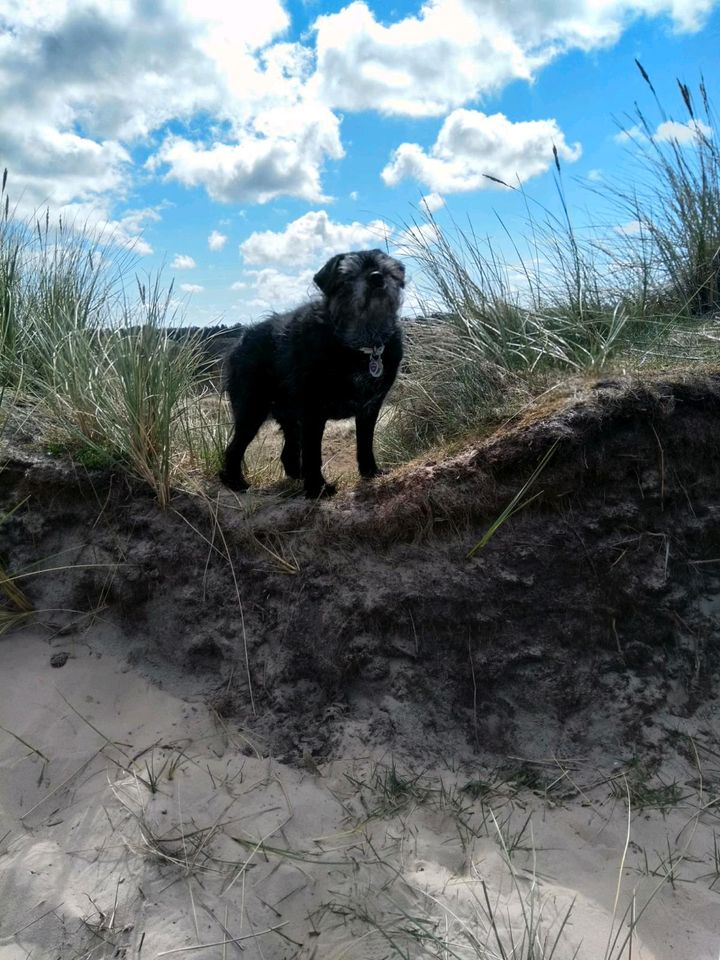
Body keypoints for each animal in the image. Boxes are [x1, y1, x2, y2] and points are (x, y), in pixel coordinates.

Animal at [219, 249, 404, 496]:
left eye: (387, 269)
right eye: (348, 275)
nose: (376, 277)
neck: (359, 346)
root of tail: (239, 342)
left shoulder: (369, 408)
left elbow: (365, 444)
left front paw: (370, 473)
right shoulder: (313, 412)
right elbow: (313, 453)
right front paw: (318, 488)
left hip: (288, 418)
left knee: (287, 454)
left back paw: (297, 476)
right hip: (252, 411)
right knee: (234, 449)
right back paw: (234, 482)